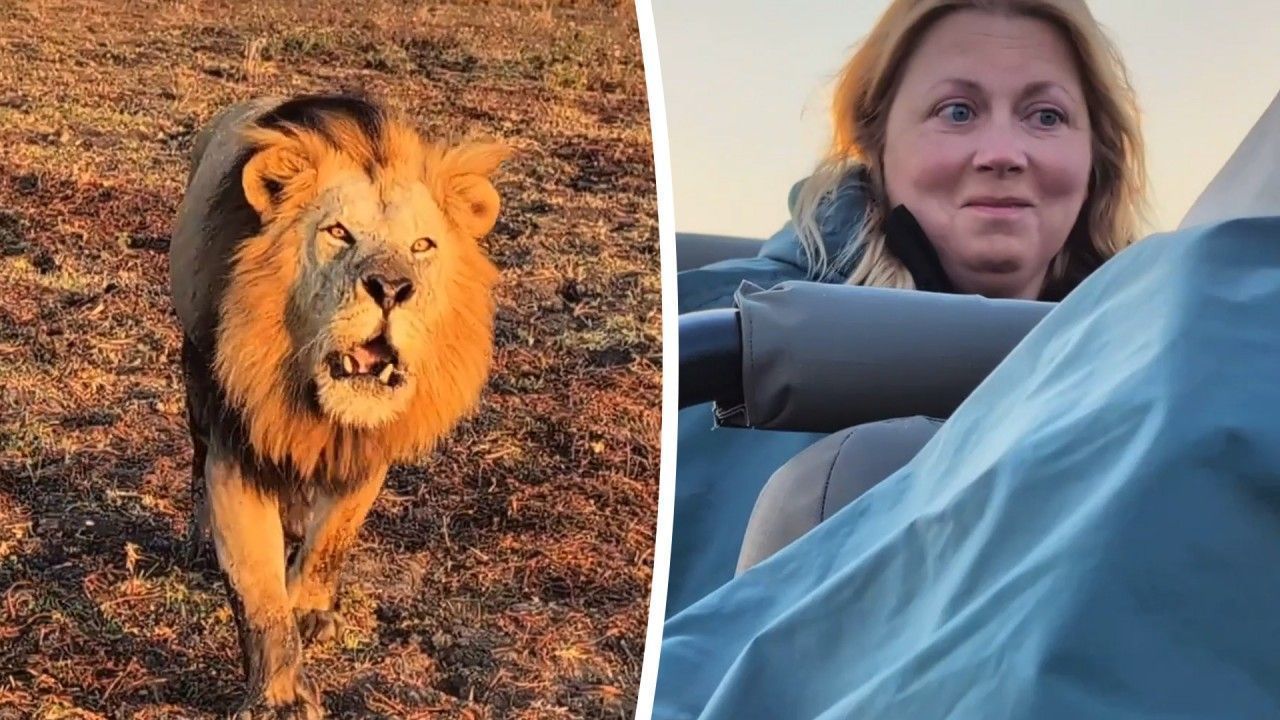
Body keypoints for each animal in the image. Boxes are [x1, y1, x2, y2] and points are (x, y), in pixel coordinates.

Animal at [168, 93, 508, 718]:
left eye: (423, 246)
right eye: (338, 232)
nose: (392, 288)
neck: (320, 409)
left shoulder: (366, 451)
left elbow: (332, 542)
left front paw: (310, 609)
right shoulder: (237, 449)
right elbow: (258, 592)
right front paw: (280, 696)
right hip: (196, 377)